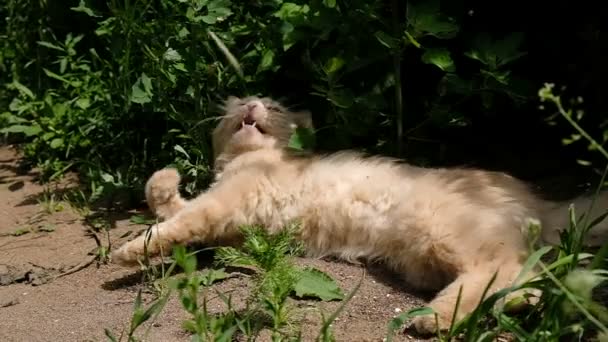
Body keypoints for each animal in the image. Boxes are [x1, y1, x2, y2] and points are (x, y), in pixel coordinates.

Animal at [110, 95, 608, 336]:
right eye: (238, 104)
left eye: (273, 106)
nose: (251, 105)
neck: (249, 159)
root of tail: (540, 201)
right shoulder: (228, 226)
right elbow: (170, 207)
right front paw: (166, 181)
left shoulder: (224, 204)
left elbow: (174, 221)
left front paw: (129, 251)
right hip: (426, 257)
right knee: (531, 274)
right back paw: (514, 305)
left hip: (443, 233)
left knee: (502, 267)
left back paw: (432, 319)